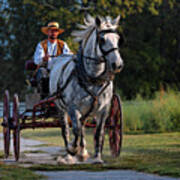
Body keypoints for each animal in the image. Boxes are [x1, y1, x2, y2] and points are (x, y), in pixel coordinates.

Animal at [49, 14, 124, 162]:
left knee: (82, 126)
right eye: (102, 39)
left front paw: (97, 158)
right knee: (66, 130)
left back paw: (82, 151)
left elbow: (98, 133)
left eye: (118, 39)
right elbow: (75, 130)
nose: (117, 64)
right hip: (60, 108)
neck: (92, 78)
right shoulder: (73, 108)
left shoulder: (103, 110)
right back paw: (69, 155)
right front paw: (72, 149)